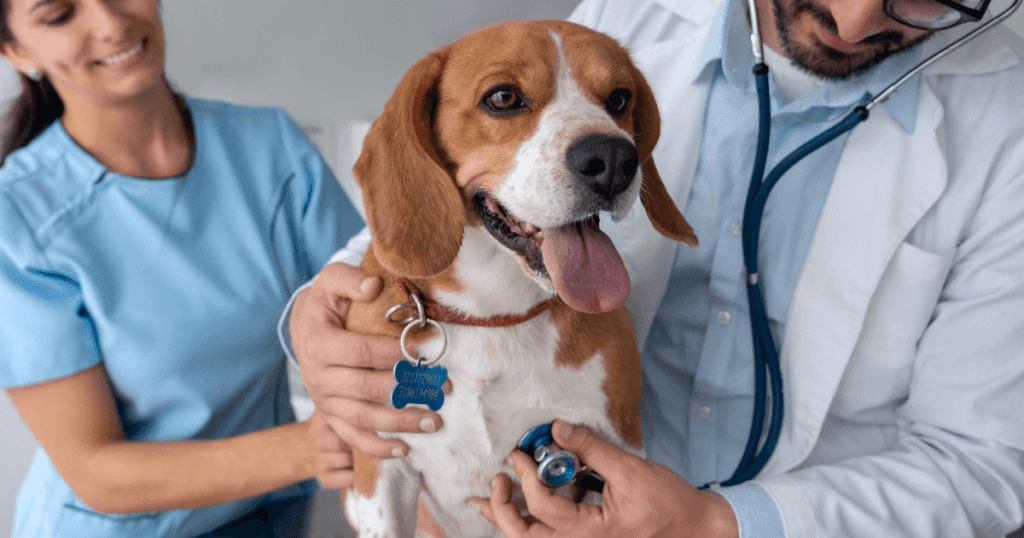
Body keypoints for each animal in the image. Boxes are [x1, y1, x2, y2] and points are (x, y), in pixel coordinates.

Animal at [342, 18, 696, 536]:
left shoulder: (618, 447)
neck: (492, 317)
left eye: (618, 99)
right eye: (504, 98)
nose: (614, 160)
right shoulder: (380, 468)